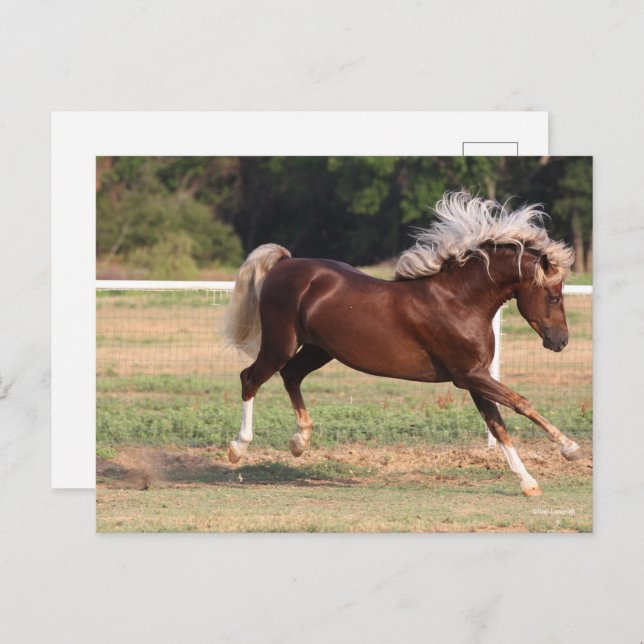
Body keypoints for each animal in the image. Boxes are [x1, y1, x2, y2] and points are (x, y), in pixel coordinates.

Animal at [222, 191, 589, 496]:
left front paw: (528, 482)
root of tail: (285, 263)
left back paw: (300, 442)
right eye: (554, 297)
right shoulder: (469, 375)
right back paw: (238, 448)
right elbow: (520, 402)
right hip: (280, 344)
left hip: (319, 350)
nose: (561, 341)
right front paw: (571, 448)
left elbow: (497, 425)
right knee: (250, 378)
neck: (459, 302)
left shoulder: (475, 376)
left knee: (291, 376)